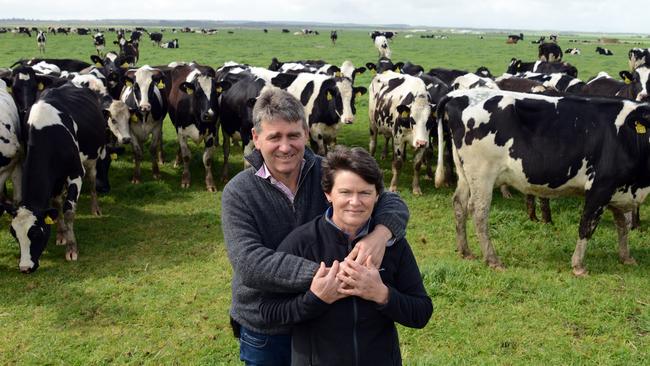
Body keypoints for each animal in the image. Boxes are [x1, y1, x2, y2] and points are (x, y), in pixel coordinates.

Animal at [4, 83, 105, 272]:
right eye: (14, 234)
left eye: (36, 233)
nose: (25, 267)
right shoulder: (54, 178)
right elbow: (56, 206)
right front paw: (61, 235)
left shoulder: (75, 173)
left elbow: (69, 210)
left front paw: (72, 249)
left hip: (93, 158)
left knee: (93, 180)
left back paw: (95, 208)